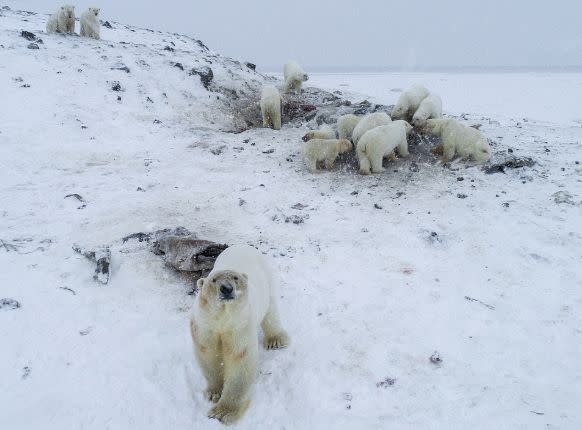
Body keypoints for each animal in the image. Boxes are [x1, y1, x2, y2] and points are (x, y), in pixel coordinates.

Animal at [192, 244, 290, 424]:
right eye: (213, 280)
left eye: (235, 278)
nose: (227, 288)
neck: (223, 318)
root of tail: (242, 245)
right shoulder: (205, 325)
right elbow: (208, 353)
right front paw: (213, 393)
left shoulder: (239, 325)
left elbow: (239, 359)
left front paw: (223, 412)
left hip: (267, 279)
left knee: (271, 310)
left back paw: (276, 340)